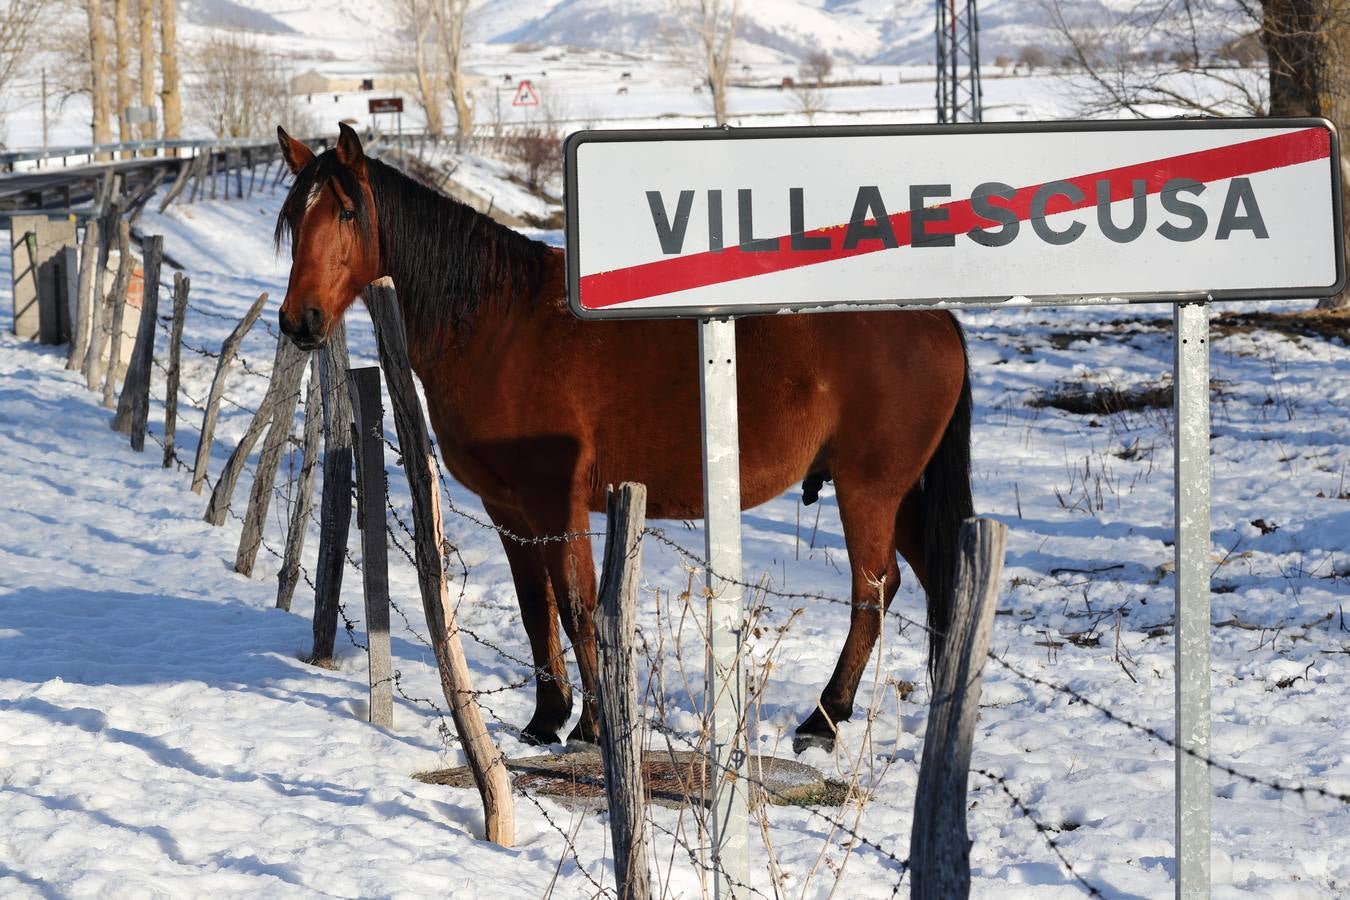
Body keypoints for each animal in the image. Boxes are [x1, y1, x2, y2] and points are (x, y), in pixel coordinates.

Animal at [271, 121, 972, 755]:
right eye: (293, 219)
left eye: (346, 212)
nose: (300, 321)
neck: (499, 327)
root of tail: (938, 319)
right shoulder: (510, 509)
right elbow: (537, 608)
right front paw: (545, 719)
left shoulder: (557, 501)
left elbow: (579, 606)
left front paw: (592, 727)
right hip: (902, 498)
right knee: (936, 582)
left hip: (868, 490)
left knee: (872, 594)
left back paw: (823, 721)